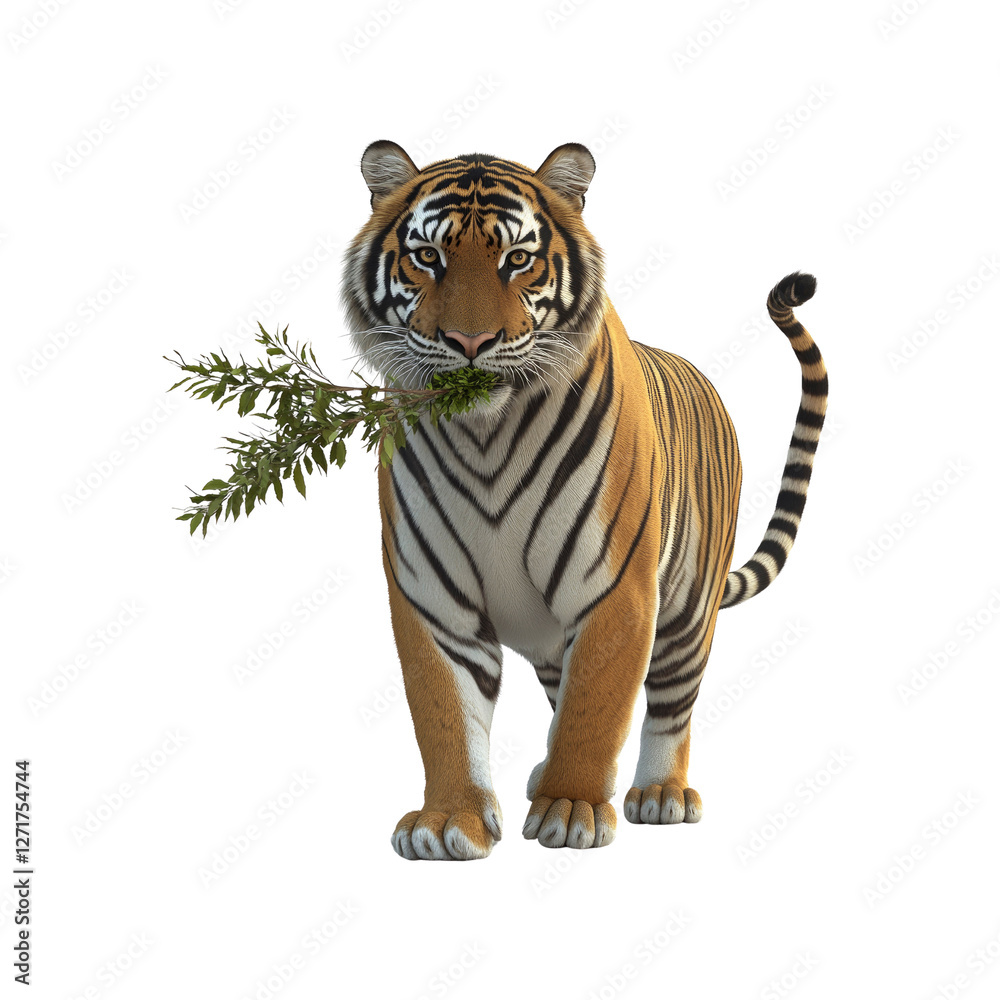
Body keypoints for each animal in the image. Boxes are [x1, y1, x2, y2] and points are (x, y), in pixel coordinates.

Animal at [340, 140, 828, 860]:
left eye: (518, 259)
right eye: (427, 256)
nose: (470, 344)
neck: (485, 433)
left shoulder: (615, 588)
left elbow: (596, 705)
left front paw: (570, 810)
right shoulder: (431, 596)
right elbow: (445, 714)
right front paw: (448, 822)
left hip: (687, 608)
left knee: (671, 702)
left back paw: (659, 793)